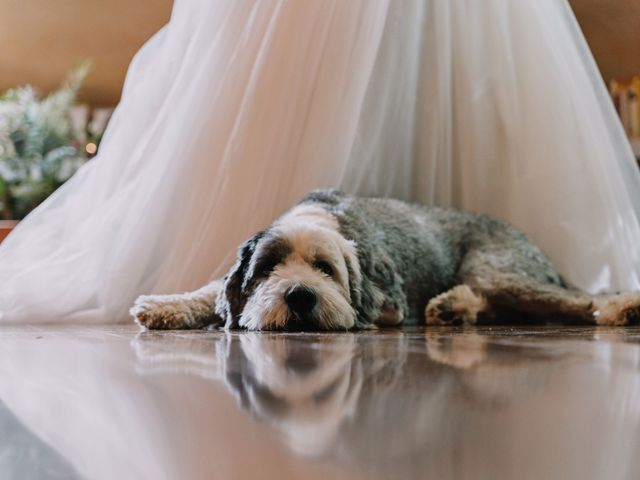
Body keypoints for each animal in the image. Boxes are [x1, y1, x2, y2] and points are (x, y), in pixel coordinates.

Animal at [129, 189, 640, 332]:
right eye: (268, 268)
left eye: (326, 269)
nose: (299, 297)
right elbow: (211, 290)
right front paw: (162, 306)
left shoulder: (390, 300)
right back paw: (451, 307)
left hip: (497, 269)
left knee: (576, 301)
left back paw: (623, 307)